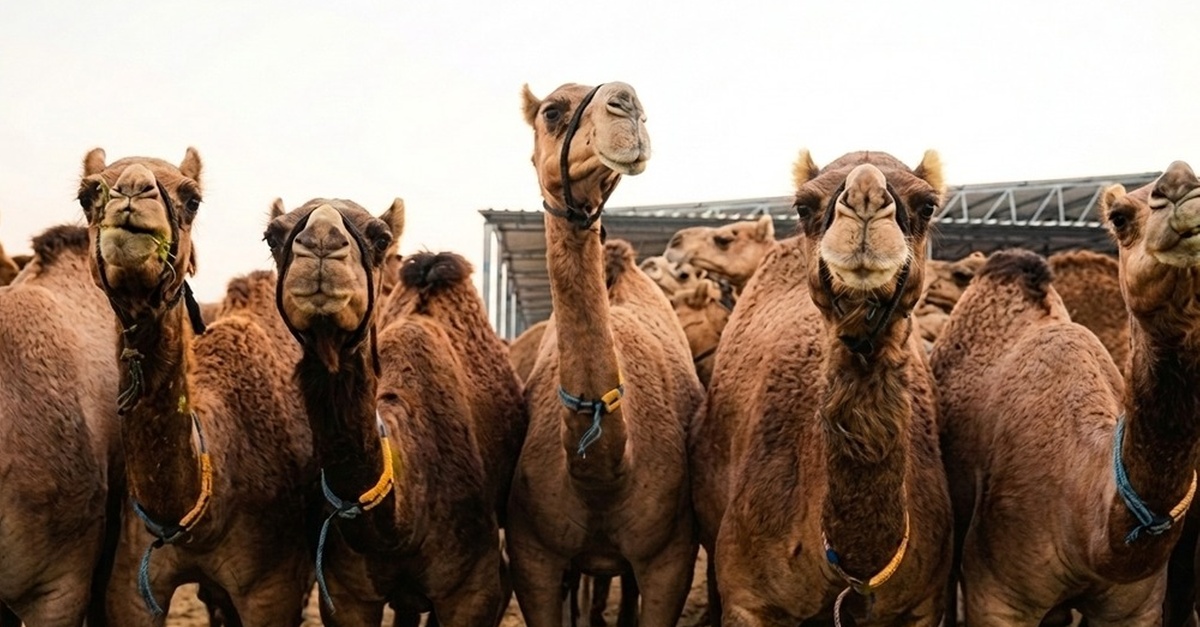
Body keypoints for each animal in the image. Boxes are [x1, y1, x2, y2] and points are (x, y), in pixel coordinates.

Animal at [691, 150, 953, 625]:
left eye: (927, 205)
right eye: (803, 206)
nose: (865, 194)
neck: (854, 570)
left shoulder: (922, 606)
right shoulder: (749, 600)